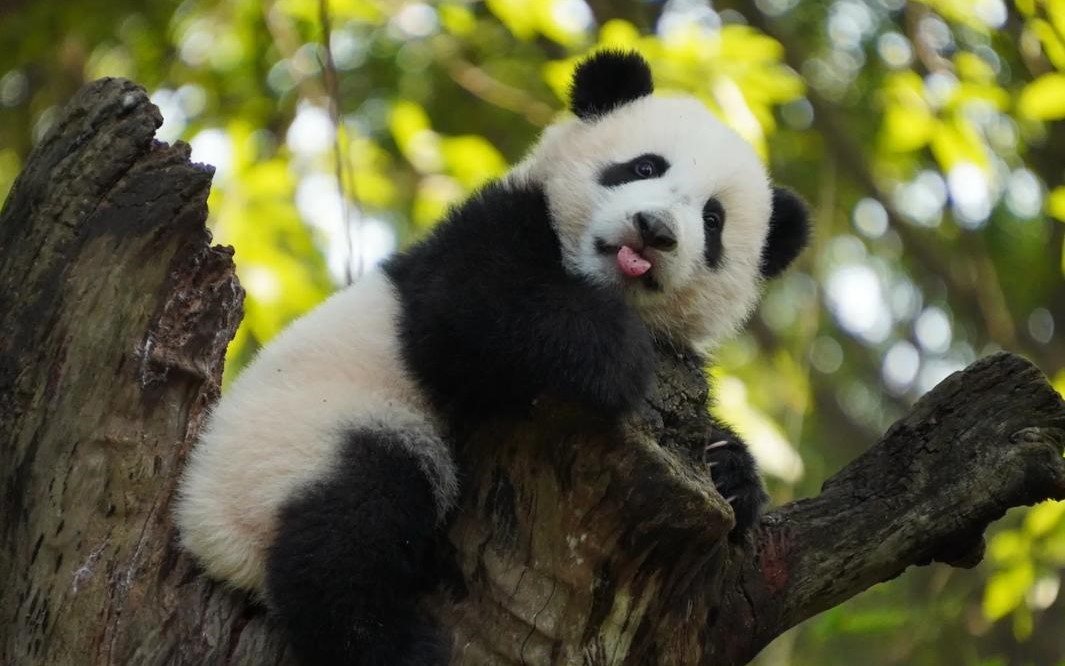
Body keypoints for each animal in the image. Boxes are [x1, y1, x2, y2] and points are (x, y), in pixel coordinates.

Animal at [174, 50, 809, 666]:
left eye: (712, 220)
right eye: (645, 167)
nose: (653, 230)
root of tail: (200, 525)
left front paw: (731, 472)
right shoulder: (494, 225)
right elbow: (471, 311)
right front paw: (621, 359)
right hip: (306, 437)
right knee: (351, 519)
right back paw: (396, 645)